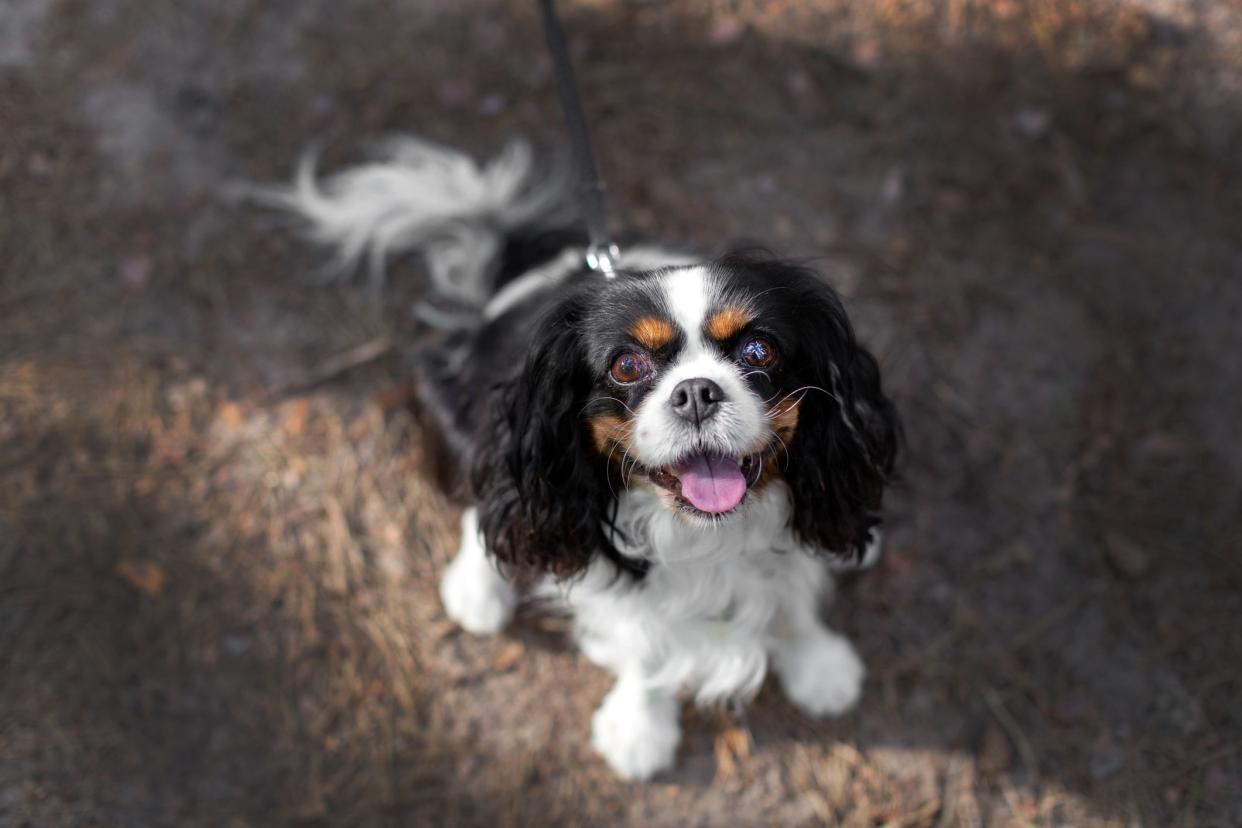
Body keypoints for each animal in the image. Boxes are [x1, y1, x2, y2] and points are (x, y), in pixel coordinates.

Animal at [267, 139, 899, 779]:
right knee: (485, 504)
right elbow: (643, 648)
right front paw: (639, 732)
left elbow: (792, 597)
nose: (697, 391)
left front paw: (820, 666)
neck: (706, 533)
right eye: (626, 365)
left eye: (758, 351)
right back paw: (477, 591)